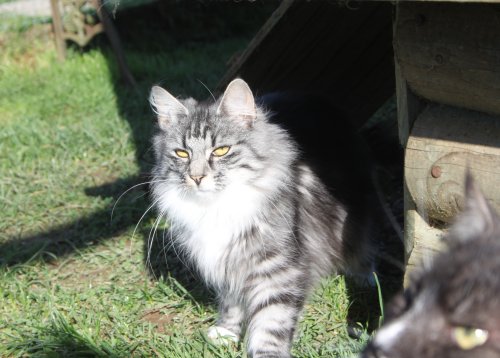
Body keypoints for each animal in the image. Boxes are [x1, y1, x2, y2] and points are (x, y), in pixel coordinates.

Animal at [148, 79, 376, 358]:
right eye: (182, 154)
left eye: (221, 151)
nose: (197, 177)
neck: (218, 206)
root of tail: (315, 97)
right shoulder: (229, 264)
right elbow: (231, 302)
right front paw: (226, 332)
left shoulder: (276, 271)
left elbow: (270, 325)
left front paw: (264, 353)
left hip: (355, 208)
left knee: (361, 241)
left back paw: (364, 277)